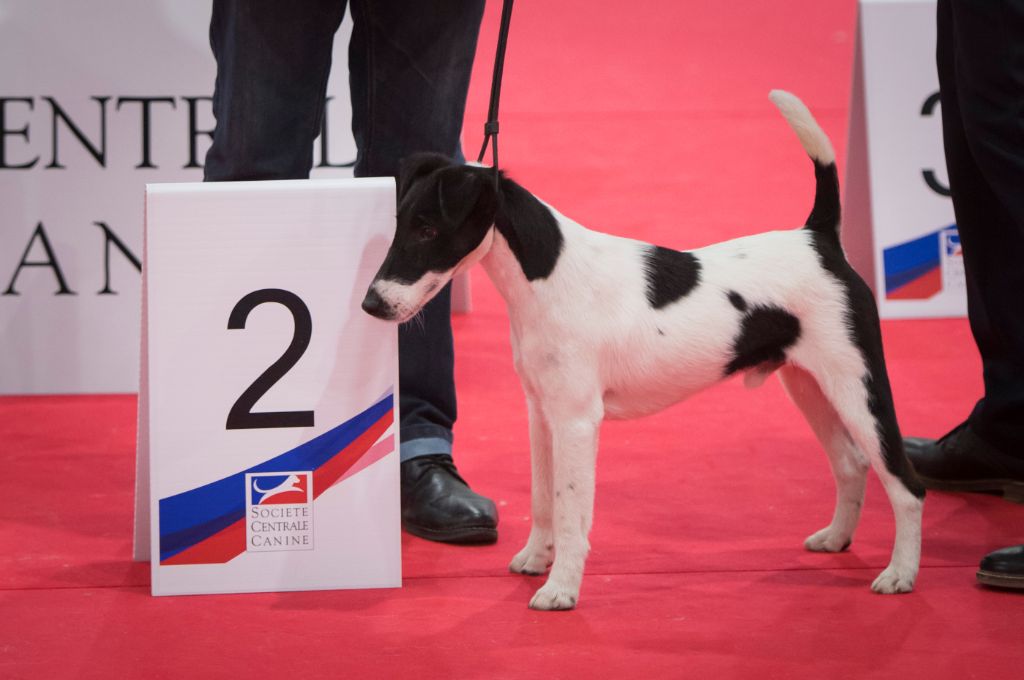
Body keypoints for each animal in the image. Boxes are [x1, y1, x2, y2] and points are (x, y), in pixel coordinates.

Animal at [364, 91, 925, 610]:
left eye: (429, 228)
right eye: (399, 222)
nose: (372, 304)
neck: (547, 276)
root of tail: (820, 240)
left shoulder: (577, 421)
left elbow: (570, 510)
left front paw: (560, 589)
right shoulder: (541, 414)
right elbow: (543, 498)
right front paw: (534, 560)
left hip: (858, 385)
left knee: (905, 484)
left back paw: (899, 574)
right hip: (809, 385)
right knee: (851, 463)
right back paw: (836, 539)